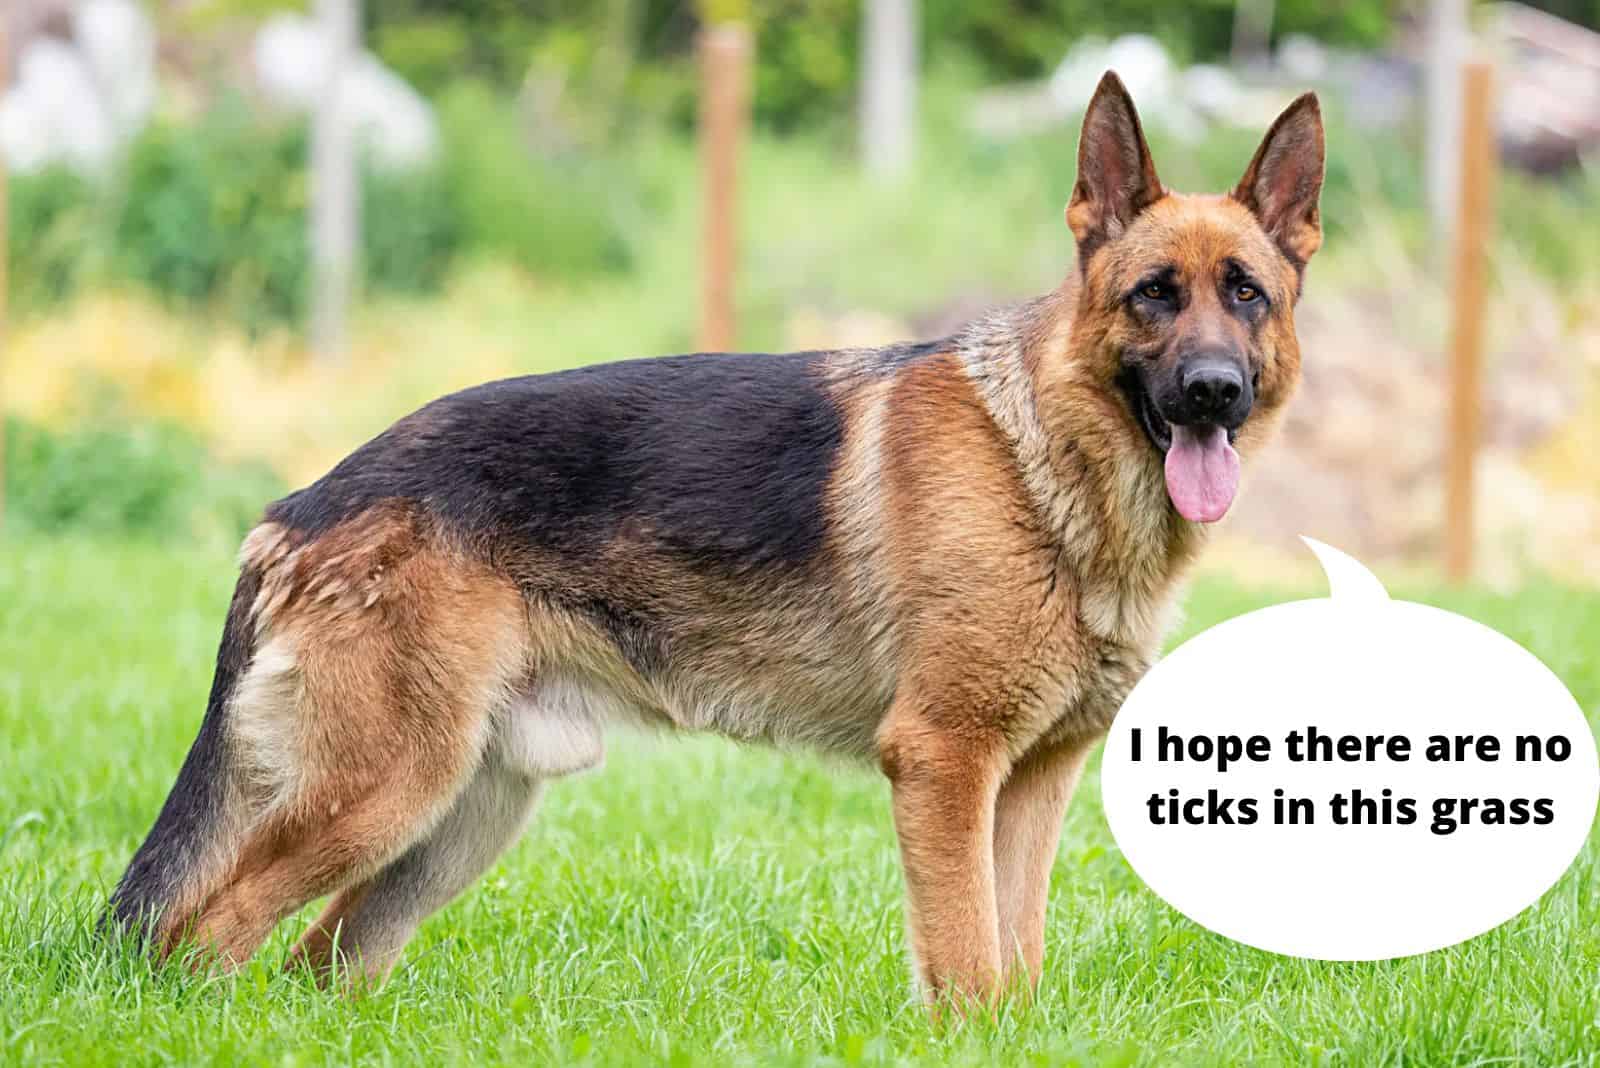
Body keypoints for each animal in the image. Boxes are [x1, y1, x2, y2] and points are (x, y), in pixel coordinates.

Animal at [103, 73, 1324, 1004]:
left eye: (1246, 296)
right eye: (1153, 295)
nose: (1212, 392)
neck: (1048, 462)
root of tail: (304, 501)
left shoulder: (1028, 785)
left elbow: (1012, 960)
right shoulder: (943, 762)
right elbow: (970, 965)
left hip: (459, 815)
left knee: (319, 958)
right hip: (386, 789)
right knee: (206, 930)